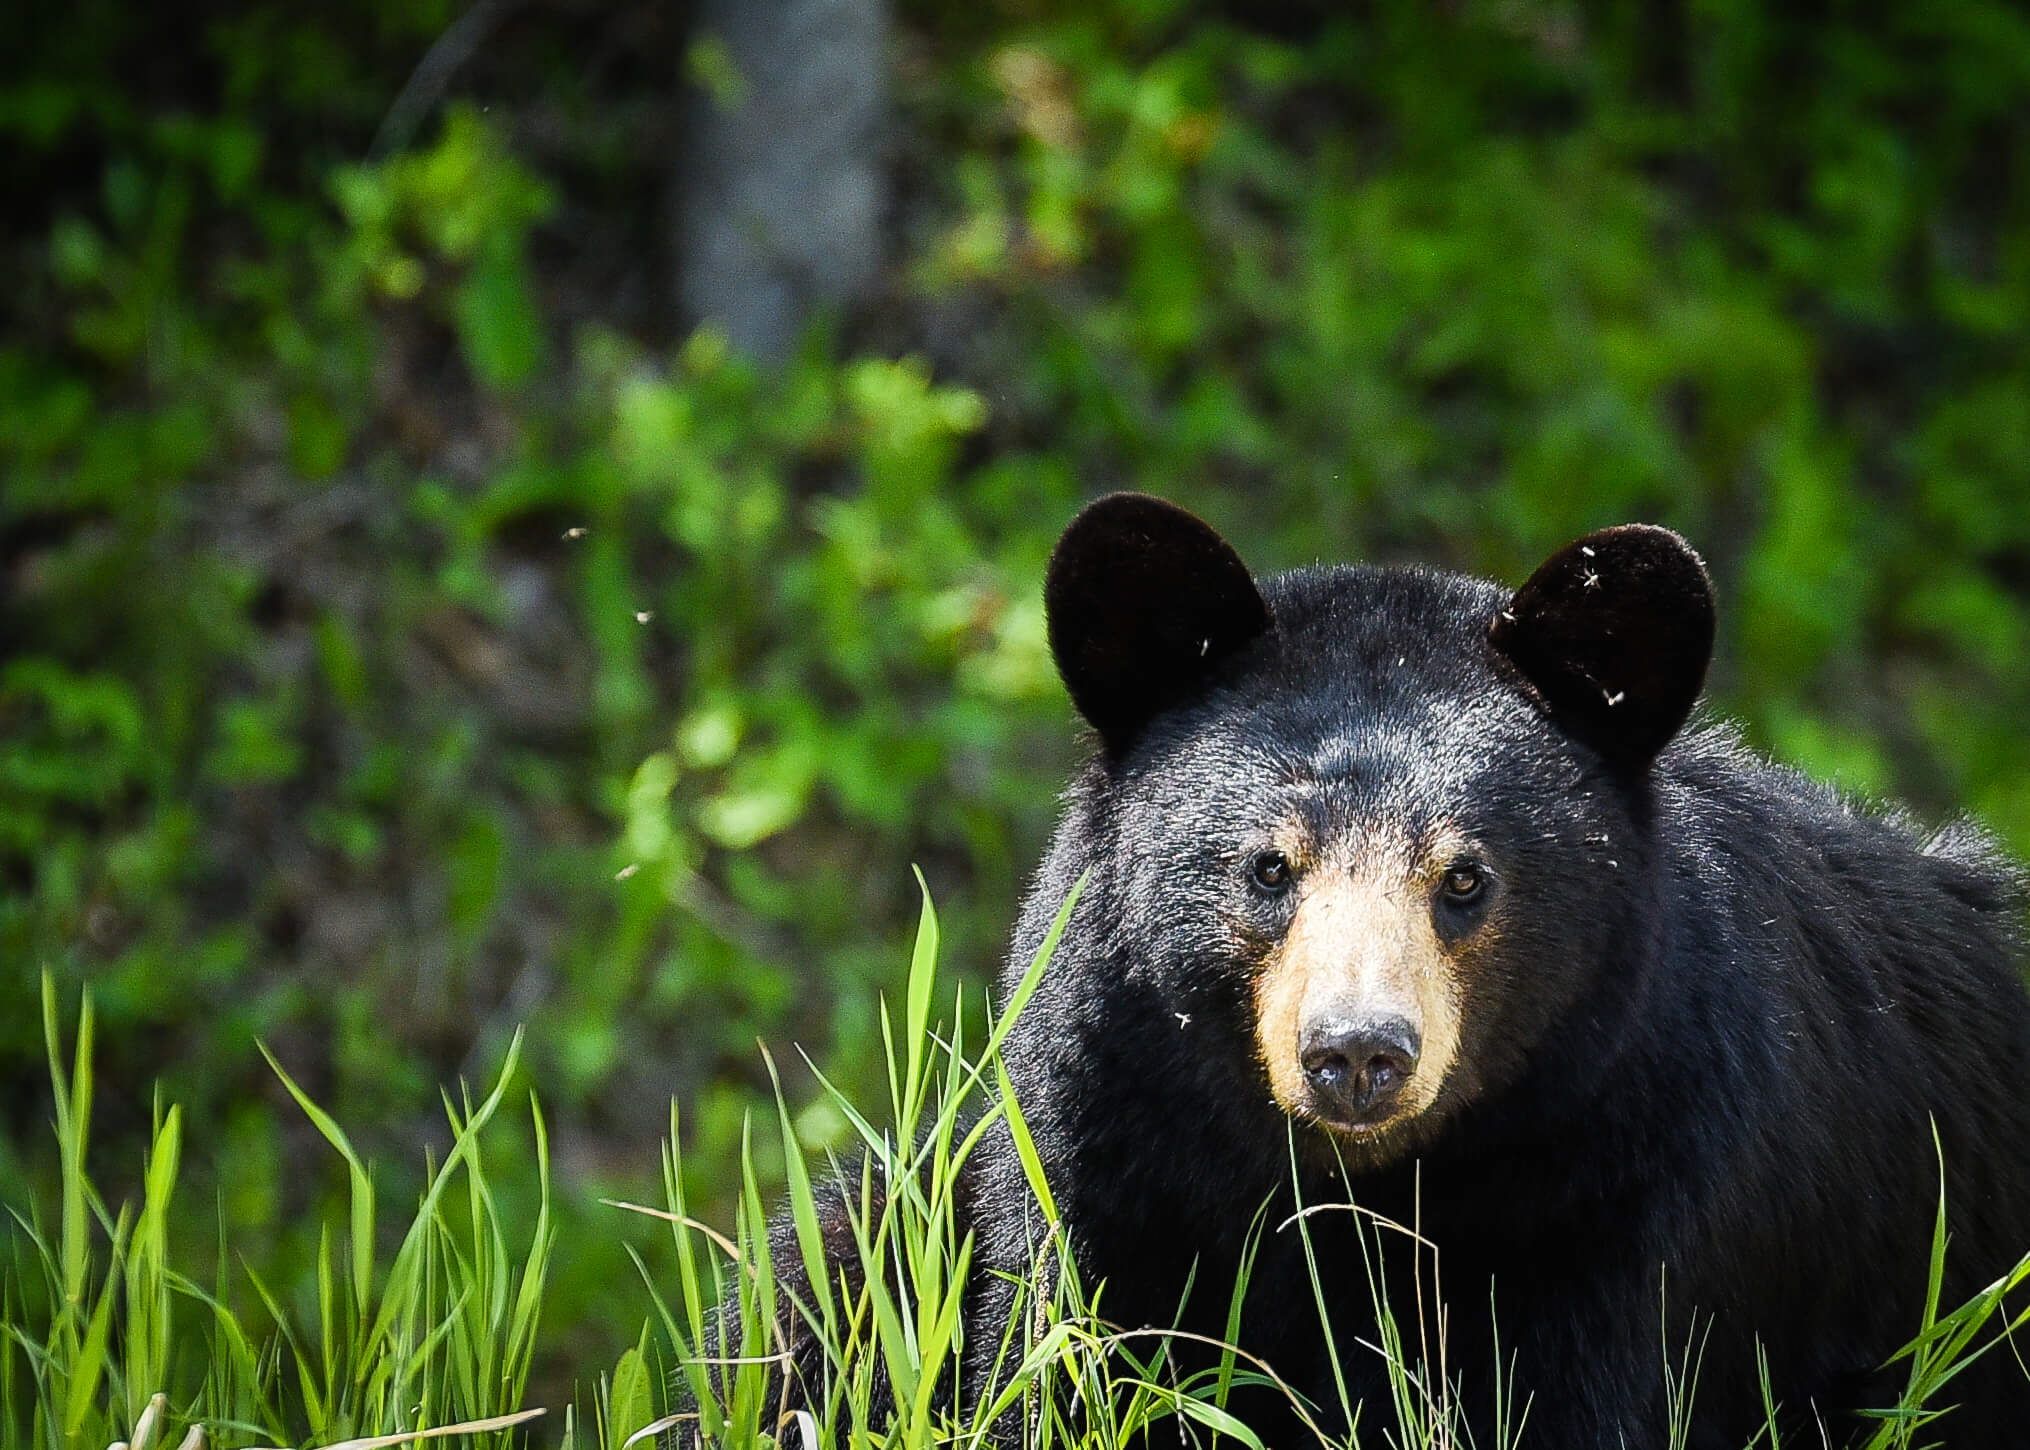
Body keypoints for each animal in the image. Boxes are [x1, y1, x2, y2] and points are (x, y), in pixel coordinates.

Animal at [742, 491, 2030, 1437]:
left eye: (1464, 879)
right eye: (1268, 867)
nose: (1356, 1051)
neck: (1361, 1186)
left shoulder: (1640, 1184)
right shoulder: (1099, 1145)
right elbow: (1056, 1359)